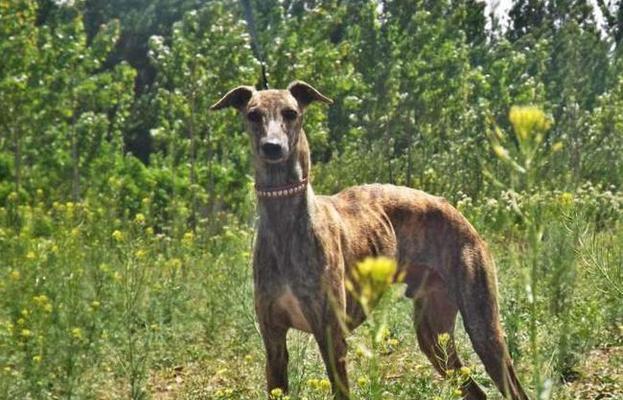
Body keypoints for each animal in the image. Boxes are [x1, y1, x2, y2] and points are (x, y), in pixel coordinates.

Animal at [212, 82, 528, 400]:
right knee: (475, 391)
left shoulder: (332, 339)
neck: (286, 223)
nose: (272, 147)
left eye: (291, 113)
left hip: (482, 326)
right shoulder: (274, 342)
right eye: (253, 115)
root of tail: (457, 212)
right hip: (433, 335)